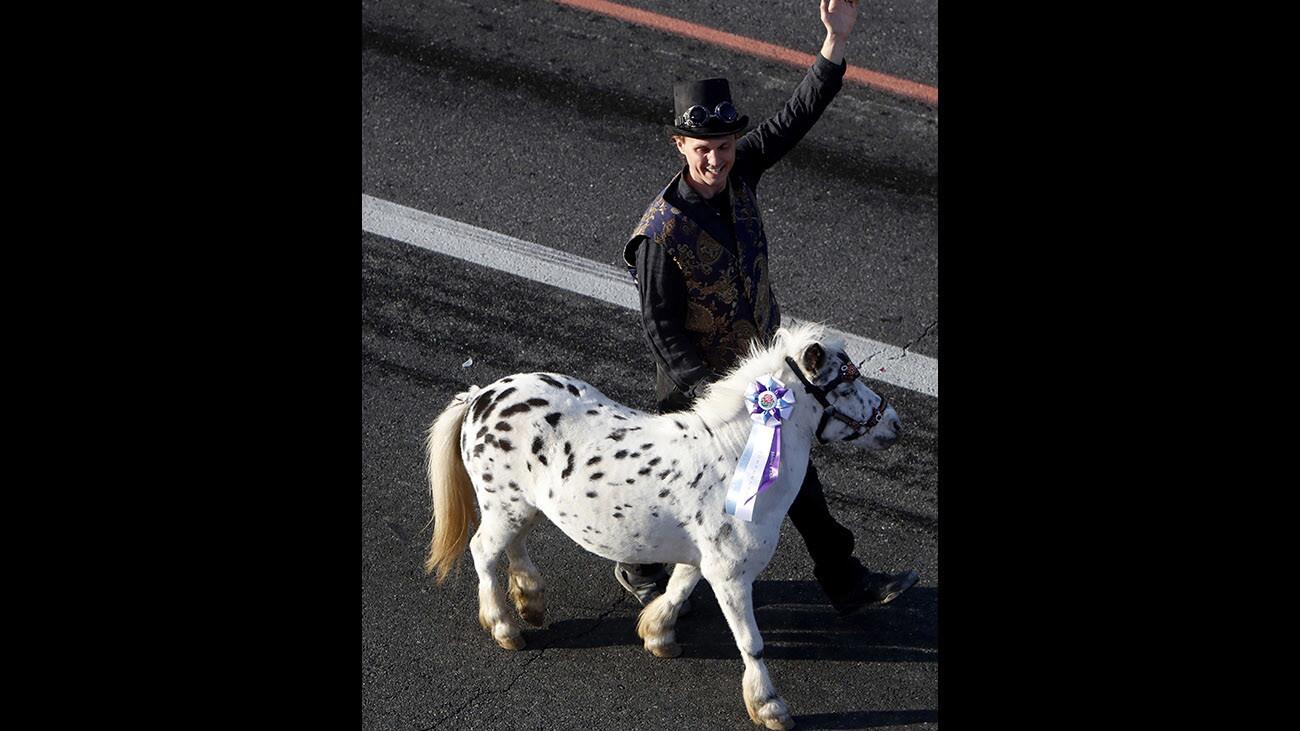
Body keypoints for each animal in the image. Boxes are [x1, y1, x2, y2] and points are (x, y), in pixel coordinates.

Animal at [426, 323, 904, 728]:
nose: (895, 426)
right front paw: (769, 707)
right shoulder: (731, 575)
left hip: (521, 508)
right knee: (484, 553)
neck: (735, 456)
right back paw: (505, 627)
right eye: (846, 384)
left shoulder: (704, 561)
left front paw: (658, 637)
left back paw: (531, 601)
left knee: (514, 547)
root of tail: (480, 396)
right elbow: (751, 643)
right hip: (502, 506)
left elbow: (677, 590)